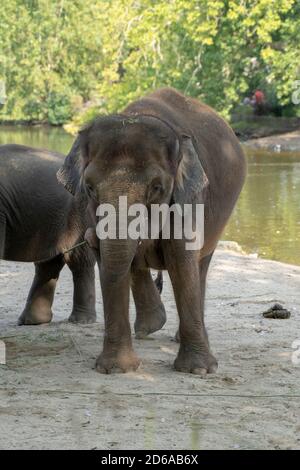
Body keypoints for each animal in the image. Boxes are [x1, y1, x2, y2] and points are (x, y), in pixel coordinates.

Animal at [58, 87, 246, 374]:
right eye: (89, 188)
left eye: (157, 188)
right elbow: (115, 258)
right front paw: (117, 370)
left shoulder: (190, 199)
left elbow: (181, 258)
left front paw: (198, 370)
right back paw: (149, 327)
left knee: (200, 265)